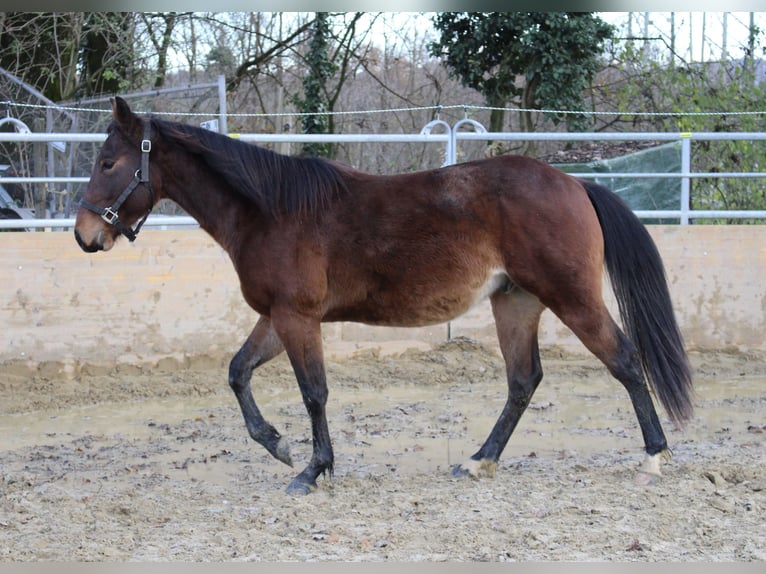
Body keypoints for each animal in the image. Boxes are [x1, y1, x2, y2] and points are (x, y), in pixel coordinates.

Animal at [73, 98, 696, 496]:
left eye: (108, 162)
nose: (85, 235)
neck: (271, 210)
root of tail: (575, 183)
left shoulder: (298, 319)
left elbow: (314, 393)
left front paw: (312, 470)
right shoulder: (277, 317)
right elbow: (237, 372)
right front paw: (277, 445)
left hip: (571, 298)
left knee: (624, 361)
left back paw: (654, 457)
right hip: (516, 303)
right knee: (523, 382)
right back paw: (479, 462)